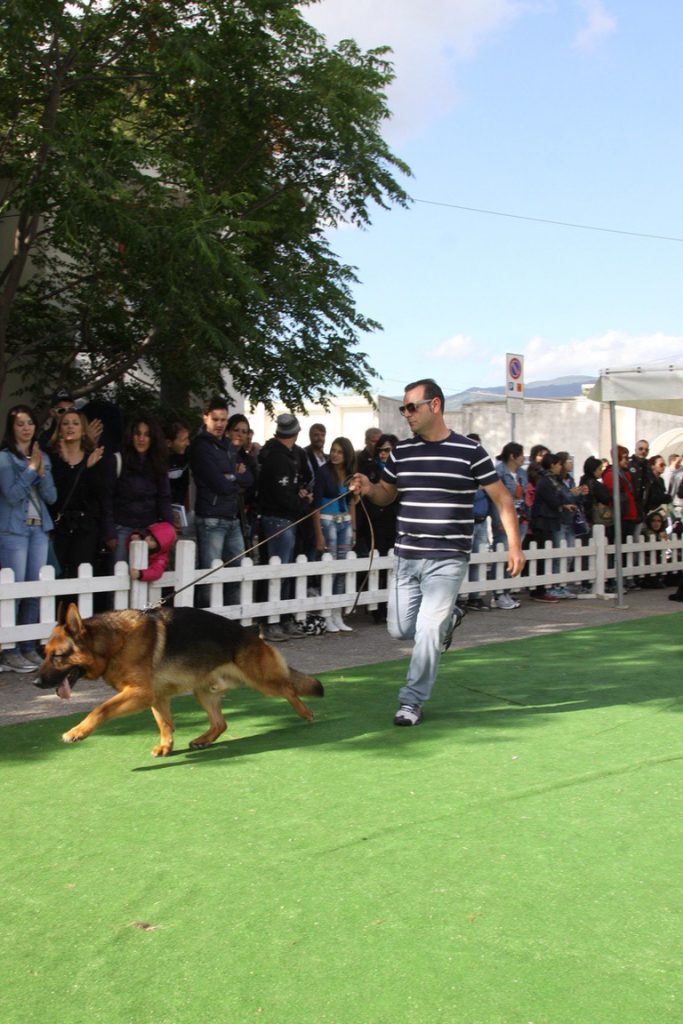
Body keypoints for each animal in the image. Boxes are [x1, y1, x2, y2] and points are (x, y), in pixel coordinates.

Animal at [37, 604, 324, 757]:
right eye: (44, 654)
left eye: (57, 657)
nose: (36, 684)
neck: (114, 644)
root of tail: (251, 632)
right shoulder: (155, 696)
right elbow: (164, 723)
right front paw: (166, 746)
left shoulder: (139, 693)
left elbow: (100, 709)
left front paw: (77, 732)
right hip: (203, 692)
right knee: (221, 723)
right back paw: (204, 739)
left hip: (262, 681)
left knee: (289, 688)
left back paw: (306, 713)